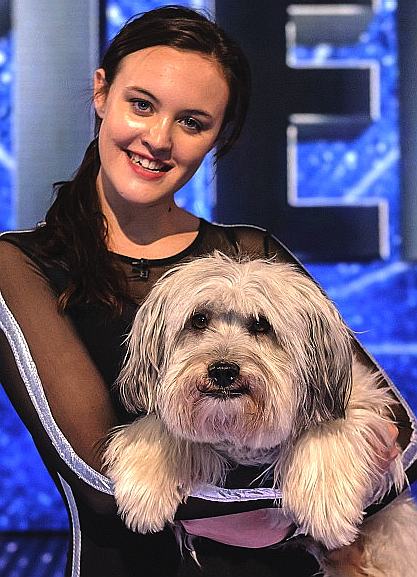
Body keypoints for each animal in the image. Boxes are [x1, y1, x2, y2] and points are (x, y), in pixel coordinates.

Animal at [104, 253, 416, 576]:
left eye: (261, 325)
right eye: (199, 320)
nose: (223, 371)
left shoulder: (367, 403)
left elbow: (326, 429)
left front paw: (328, 504)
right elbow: (164, 427)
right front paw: (145, 486)